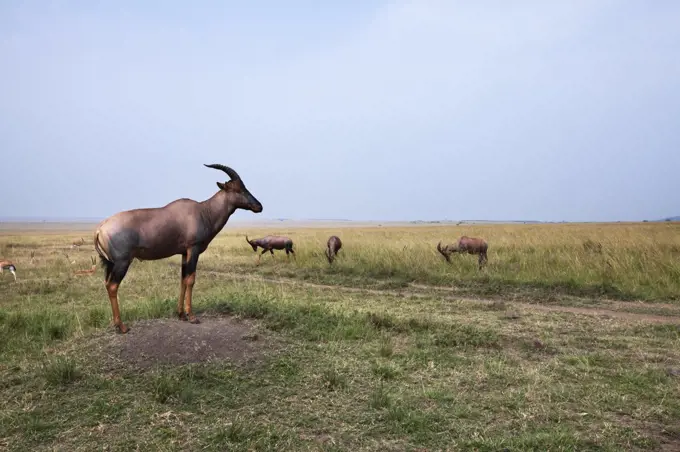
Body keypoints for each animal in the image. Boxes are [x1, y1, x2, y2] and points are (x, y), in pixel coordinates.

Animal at [90, 164, 260, 334]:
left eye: (244, 187)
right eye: (238, 189)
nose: (259, 206)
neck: (203, 211)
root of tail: (100, 229)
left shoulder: (184, 253)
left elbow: (183, 280)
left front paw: (181, 315)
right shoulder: (193, 249)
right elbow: (191, 280)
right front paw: (192, 317)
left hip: (109, 263)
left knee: (107, 284)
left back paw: (115, 324)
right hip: (122, 262)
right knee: (113, 286)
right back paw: (122, 326)